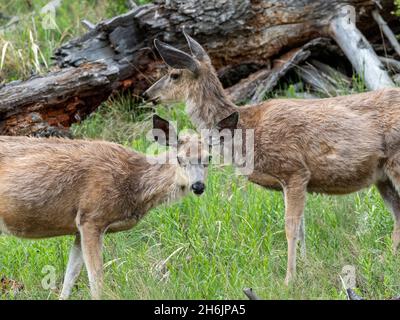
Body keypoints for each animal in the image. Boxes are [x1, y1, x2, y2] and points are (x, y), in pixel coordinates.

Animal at [0, 115, 211, 300]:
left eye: (208, 158)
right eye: (180, 159)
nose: (198, 186)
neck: (134, 183)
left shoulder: (79, 228)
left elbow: (70, 277)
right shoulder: (92, 217)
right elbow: (96, 280)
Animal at [145, 30, 400, 284]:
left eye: (174, 74)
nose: (148, 94)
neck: (247, 132)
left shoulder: (294, 170)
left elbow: (291, 227)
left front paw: (289, 279)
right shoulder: (294, 181)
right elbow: (302, 228)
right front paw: (305, 267)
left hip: (396, 164)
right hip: (382, 177)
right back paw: (386, 259)